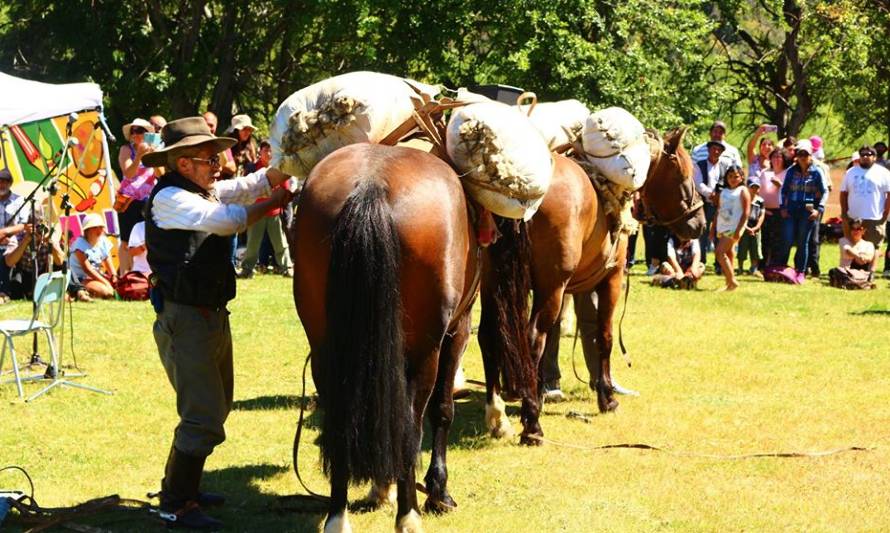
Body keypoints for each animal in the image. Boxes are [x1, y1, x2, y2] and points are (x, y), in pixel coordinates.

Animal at [290, 142, 486, 532]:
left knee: (344, 418)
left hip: (325, 346)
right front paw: (438, 493)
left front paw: (381, 488)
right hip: (424, 351)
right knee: (410, 426)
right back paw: (409, 515)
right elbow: (442, 410)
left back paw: (338, 516)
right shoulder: (458, 329)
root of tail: (372, 185)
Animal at [476, 127, 704, 442]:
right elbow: (603, 337)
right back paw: (532, 425)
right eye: (684, 174)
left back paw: (498, 416)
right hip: (548, 287)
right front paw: (607, 397)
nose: (700, 223)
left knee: (489, 336)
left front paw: (542, 391)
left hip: (493, 282)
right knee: (532, 339)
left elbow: (559, 337)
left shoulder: (563, 289)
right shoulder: (609, 280)